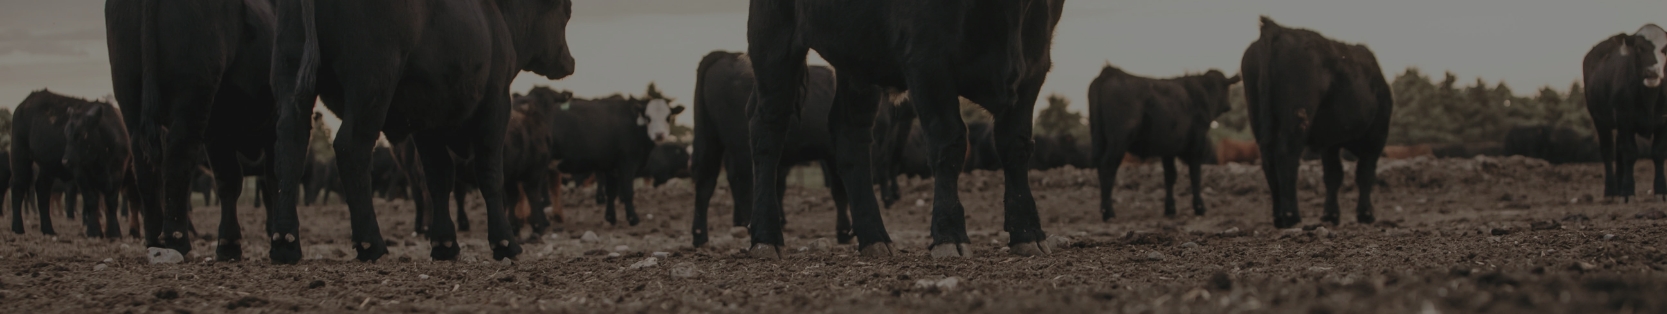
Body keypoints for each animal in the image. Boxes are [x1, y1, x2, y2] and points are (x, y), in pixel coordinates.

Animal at [543, 90, 680, 225]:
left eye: (668, 117)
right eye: (648, 117)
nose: (659, 134)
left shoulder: (611, 168)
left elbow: (611, 192)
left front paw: (610, 217)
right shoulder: (628, 164)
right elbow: (627, 191)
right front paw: (633, 218)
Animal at [746, 0, 1060, 257]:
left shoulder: (1034, 64)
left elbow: (1015, 146)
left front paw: (1028, 233)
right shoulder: (927, 62)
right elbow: (949, 143)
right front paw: (950, 234)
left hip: (858, 57)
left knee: (851, 134)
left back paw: (874, 238)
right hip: (773, 41)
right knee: (768, 130)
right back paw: (766, 237)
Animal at [1086, 65, 1246, 220]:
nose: (1229, 106)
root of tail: (1110, 72)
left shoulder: (1168, 149)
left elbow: (1170, 176)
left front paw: (1170, 209)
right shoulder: (1196, 145)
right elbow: (1195, 175)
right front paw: (1199, 207)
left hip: (1099, 138)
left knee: (1100, 166)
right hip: (1119, 140)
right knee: (1108, 167)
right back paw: (1108, 212)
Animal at [1240, 17, 1393, 228]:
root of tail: (1277, 30)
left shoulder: (1330, 143)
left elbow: (1333, 175)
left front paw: (1331, 214)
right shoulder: (1377, 136)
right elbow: (1365, 173)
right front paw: (1365, 214)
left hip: (1258, 116)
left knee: (1268, 158)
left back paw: (1278, 216)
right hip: (1297, 117)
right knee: (1286, 155)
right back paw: (1291, 215)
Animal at [1580, 24, 1660, 201]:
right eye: (1639, 48)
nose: (1653, 71)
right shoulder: (1624, 119)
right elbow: (1629, 152)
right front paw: (1628, 191)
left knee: (1618, 151)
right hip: (1600, 121)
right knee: (1608, 151)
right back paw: (1611, 191)